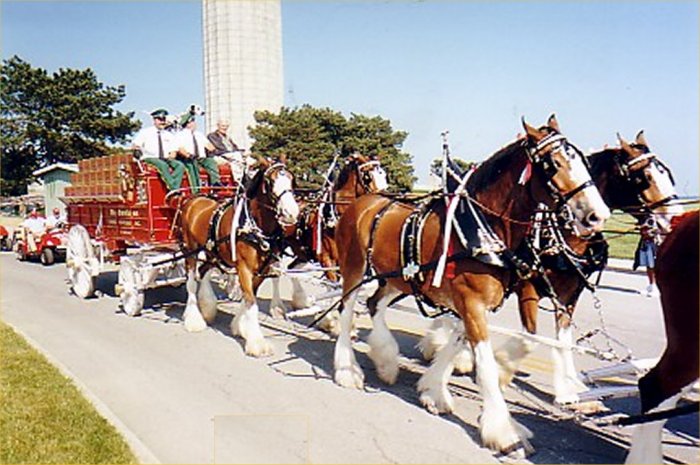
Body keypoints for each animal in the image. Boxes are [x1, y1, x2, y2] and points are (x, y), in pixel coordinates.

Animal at [178, 156, 298, 356]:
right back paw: (194, 319)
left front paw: (240, 327)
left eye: (291, 178)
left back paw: (207, 308)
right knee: (191, 282)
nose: (291, 213)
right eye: (270, 181)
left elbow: (249, 298)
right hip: (190, 251)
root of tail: (193, 200)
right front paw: (257, 342)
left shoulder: (261, 270)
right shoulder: (244, 268)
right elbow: (251, 301)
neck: (254, 226)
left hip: (212, 253)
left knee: (203, 273)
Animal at [330, 114, 608, 452]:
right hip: (354, 269)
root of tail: (362, 202)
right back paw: (347, 370)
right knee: (346, 311)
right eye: (553, 164)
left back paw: (385, 360)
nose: (598, 215)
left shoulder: (471, 303)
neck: (483, 229)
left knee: (374, 304)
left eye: (583, 161)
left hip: (396, 278)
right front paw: (504, 430)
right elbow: (485, 363)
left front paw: (434, 390)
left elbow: (458, 342)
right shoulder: (472, 301)